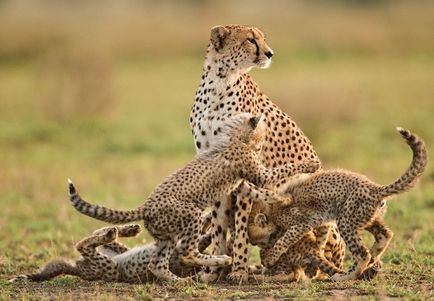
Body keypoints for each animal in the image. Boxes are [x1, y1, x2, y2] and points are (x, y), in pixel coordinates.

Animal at [68, 112, 318, 282]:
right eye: (263, 133)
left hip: (166, 236)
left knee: (156, 265)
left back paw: (180, 281)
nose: (263, 143)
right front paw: (310, 164)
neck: (234, 137)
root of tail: (146, 206)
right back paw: (220, 260)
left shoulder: (242, 184)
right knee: (187, 253)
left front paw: (283, 199)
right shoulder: (259, 174)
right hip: (191, 216)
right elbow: (281, 172)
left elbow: (263, 192)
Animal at [190, 24, 346, 282]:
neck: (220, 82)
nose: (270, 53)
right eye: (250, 40)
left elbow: (241, 226)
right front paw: (214, 270)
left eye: (263, 39)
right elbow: (220, 225)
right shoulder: (216, 167)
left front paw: (239, 270)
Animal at [234, 127, 428, 280]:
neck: (271, 211)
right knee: (385, 235)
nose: (257, 247)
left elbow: (285, 237)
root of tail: (376, 188)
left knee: (362, 254)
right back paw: (372, 261)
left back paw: (346, 275)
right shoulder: (319, 219)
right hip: (366, 218)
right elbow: (319, 239)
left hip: (347, 221)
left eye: (256, 241)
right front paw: (316, 255)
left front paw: (271, 257)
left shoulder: (300, 222)